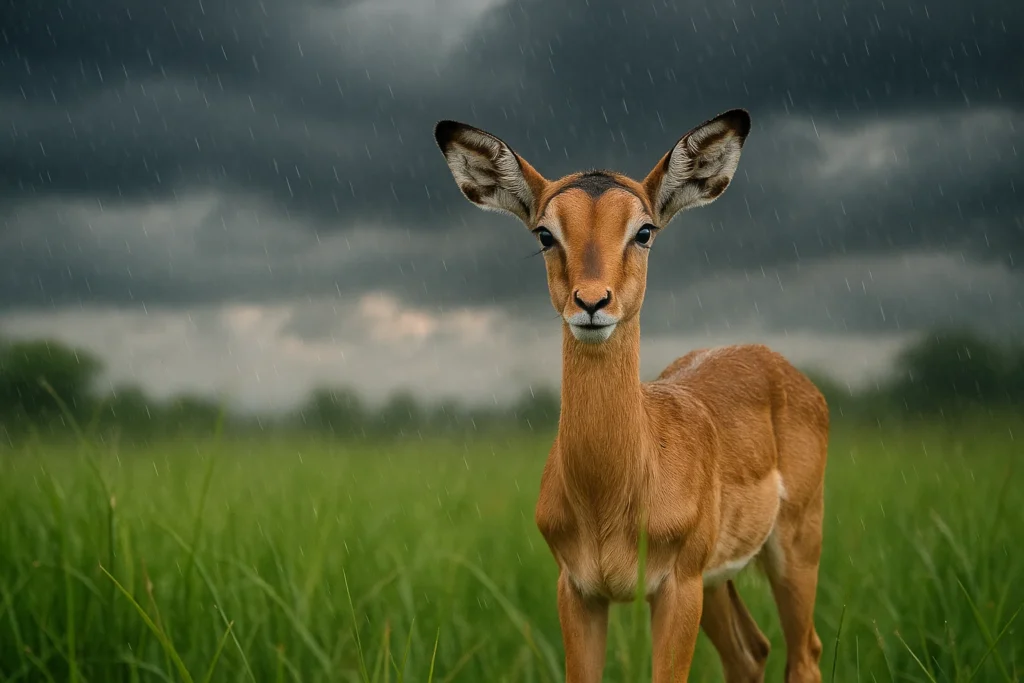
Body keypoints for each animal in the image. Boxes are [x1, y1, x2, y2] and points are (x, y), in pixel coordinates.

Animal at [433, 109, 829, 683]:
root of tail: (779, 365)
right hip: (718, 581)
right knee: (751, 651)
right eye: (545, 233)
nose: (592, 302)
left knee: (804, 655)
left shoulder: (677, 588)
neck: (613, 492)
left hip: (794, 547)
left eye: (643, 231)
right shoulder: (578, 592)